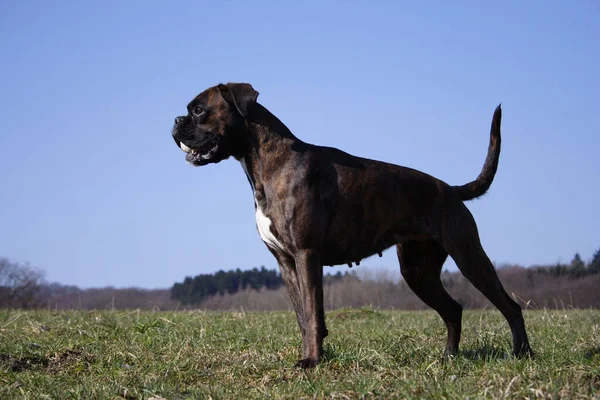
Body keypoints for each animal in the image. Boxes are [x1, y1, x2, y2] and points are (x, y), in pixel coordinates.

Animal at [171, 83, 532, 368]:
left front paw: (312, 361)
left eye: (199, 110)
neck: (269, 162)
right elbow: (303, 316)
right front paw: (311, 355)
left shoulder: (307, 255)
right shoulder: (286, 263)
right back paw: (449, 357)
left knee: (510, 306)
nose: (175, 120)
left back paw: (522, 354)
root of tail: (451, 189)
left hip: (469, 257)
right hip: (418, 272)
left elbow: (313, 312)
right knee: (454, 309)